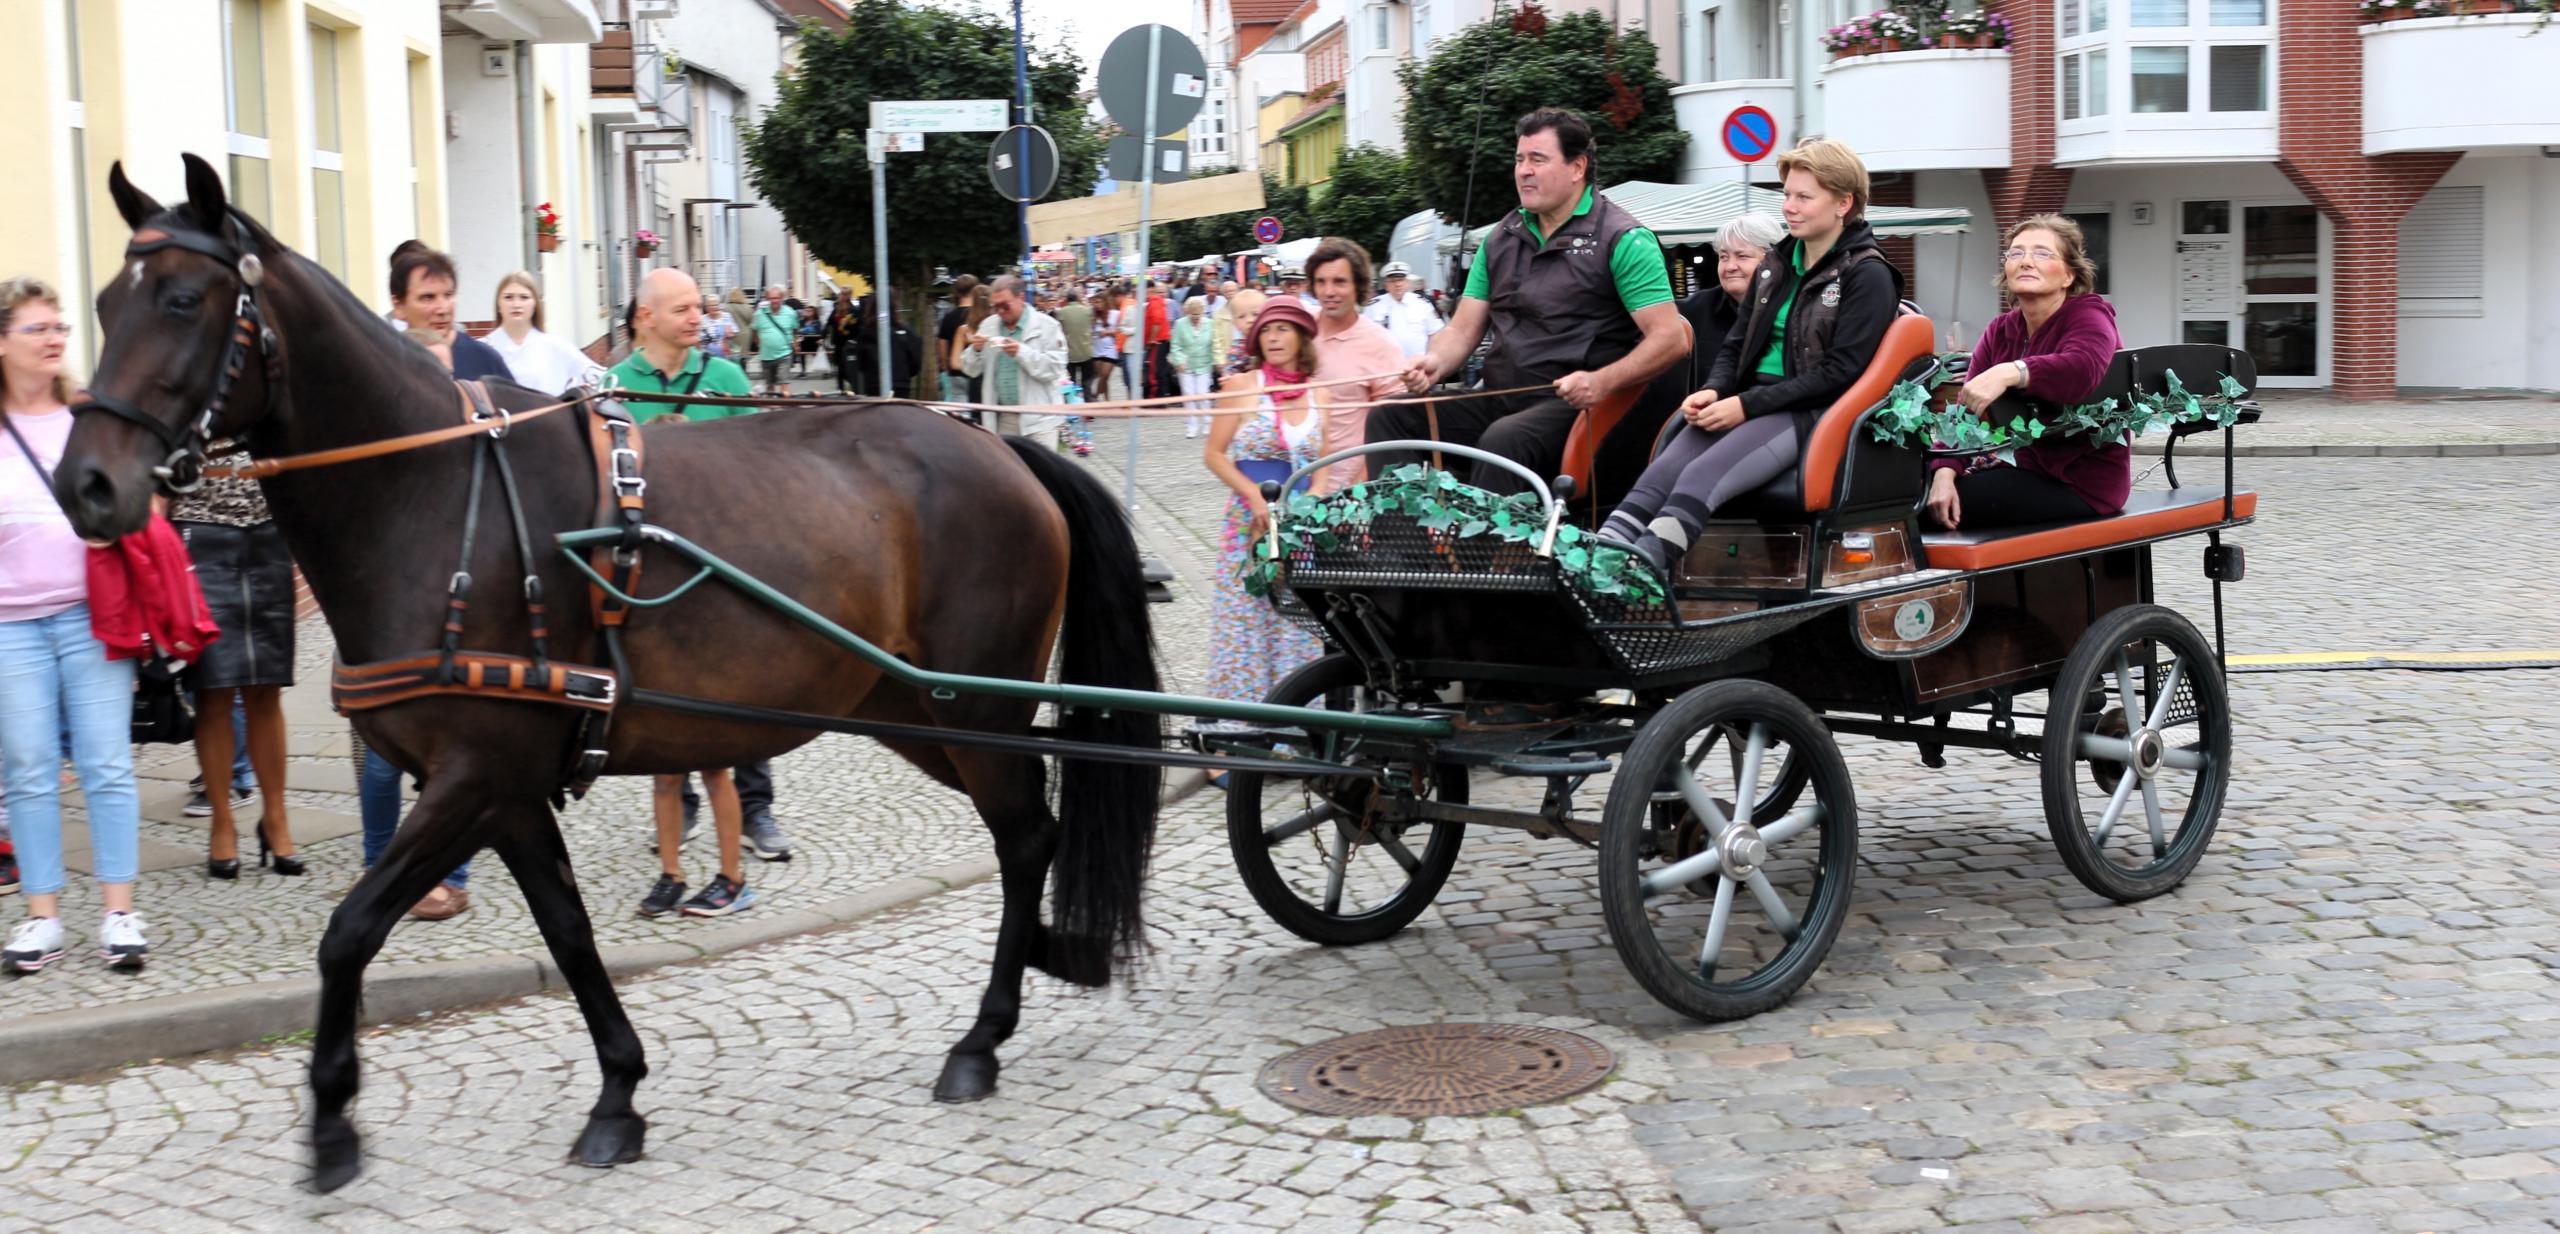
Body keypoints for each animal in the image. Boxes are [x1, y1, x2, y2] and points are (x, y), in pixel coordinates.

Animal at [57, 156, 1162, 1193]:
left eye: (183, 300)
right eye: (105, 303)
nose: (86, 485)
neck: (431, 491)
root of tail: (1005, 454)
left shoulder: (471, 776)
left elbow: (349, 930)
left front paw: (331, 1120)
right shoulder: (503, 789)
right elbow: (568, 929)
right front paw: (618, 1093)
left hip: (976, 707)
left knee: (1027, 836)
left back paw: (986, 1033)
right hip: (914, 714)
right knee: (1030, 832)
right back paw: (1049, 962)